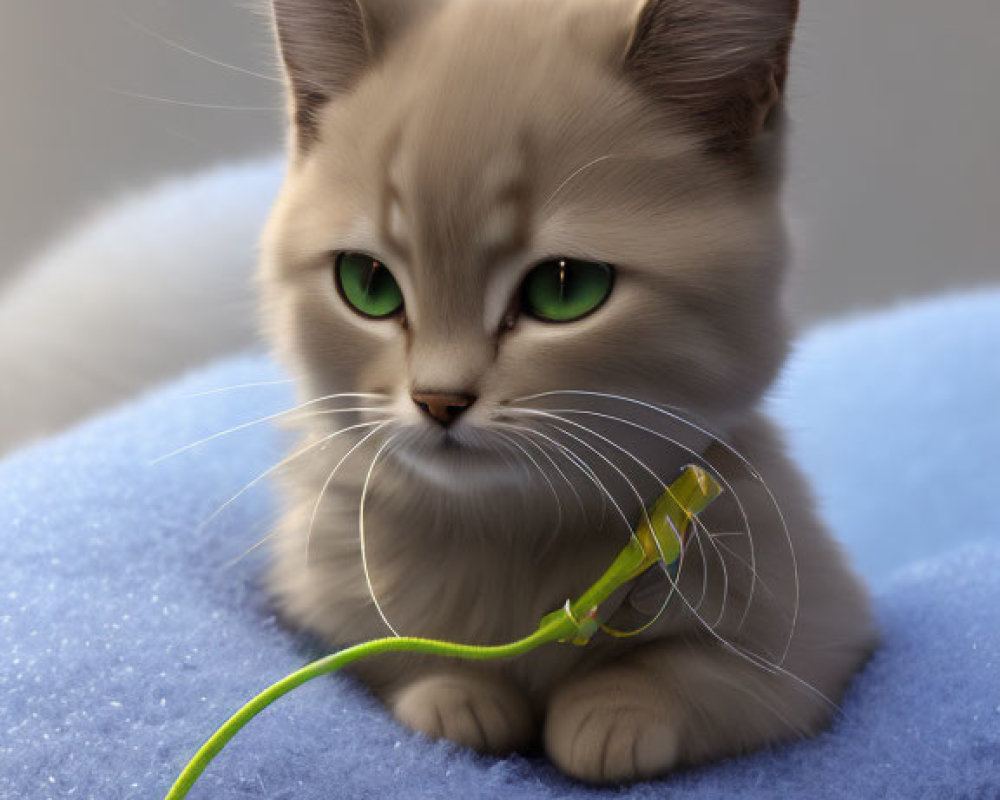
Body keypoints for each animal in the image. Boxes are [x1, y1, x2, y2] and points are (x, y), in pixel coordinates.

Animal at [258, 0, 876, 788]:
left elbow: (701, 674)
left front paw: (609, 716)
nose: (438, 400)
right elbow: (392, 659)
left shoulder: (821, 640)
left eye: (565, 289)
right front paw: (459, 698)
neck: (512, 536)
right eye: (367, 283)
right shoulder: (322, 597)